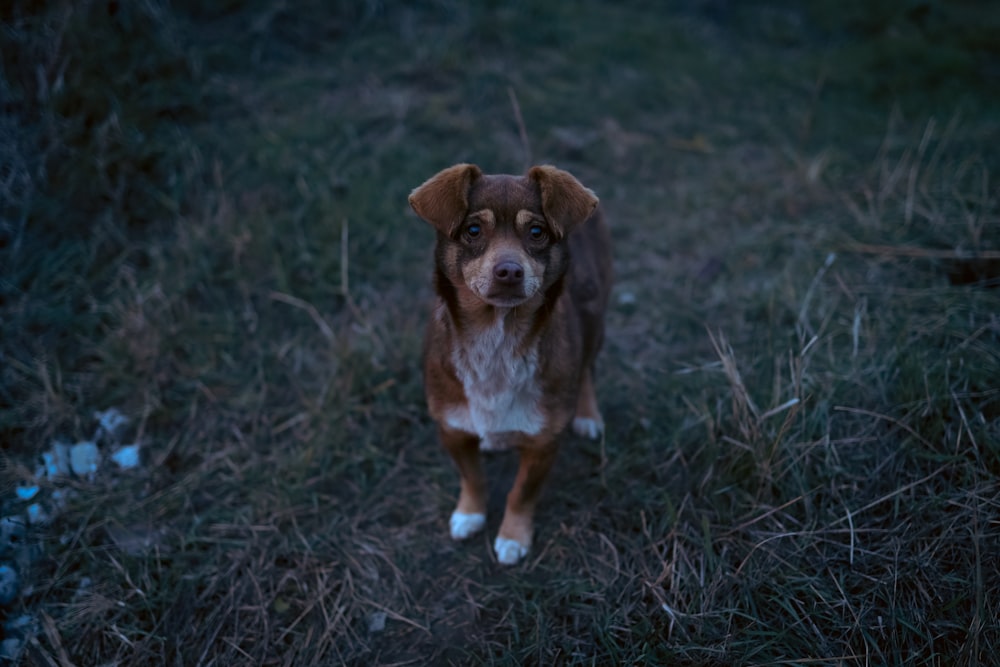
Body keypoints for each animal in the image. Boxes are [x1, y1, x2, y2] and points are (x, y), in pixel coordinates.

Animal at [406, 164, 608, 568]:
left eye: (537, 232)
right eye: (472, 230)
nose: (509, 271)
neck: (496, 339)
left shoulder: (543, 443)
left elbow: (521, 493)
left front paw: (513, 536)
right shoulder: (451, 428)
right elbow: (473, 477)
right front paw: (470, 513)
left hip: (596, 317)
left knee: (587, 369)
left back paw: (587, 414)